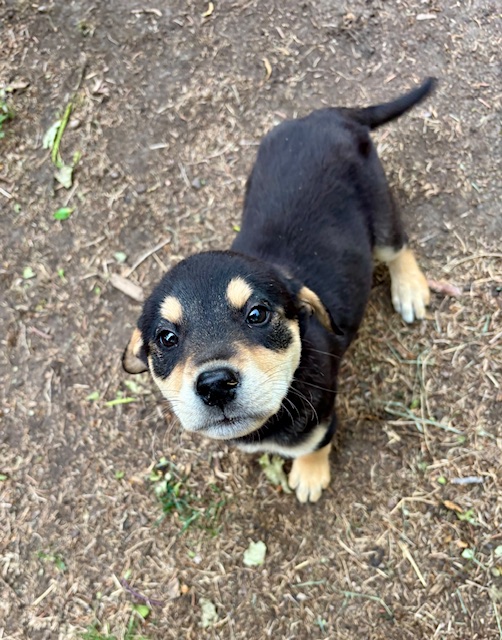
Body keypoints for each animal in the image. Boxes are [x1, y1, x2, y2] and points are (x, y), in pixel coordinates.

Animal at [123, 77, 436, 503]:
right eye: (166, 338)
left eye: (258, 314)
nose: (215, 385)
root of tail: (328, 115)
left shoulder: (322, 416)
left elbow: (316, 444)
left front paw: (309, 475)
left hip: (379, 203)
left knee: (399, 245)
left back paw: (410, 289)